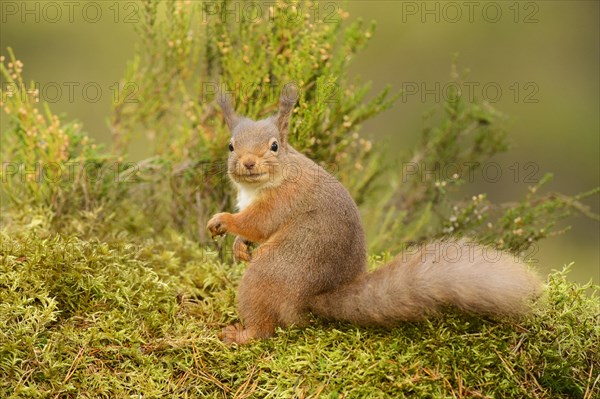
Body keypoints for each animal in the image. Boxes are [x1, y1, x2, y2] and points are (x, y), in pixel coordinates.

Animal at [207, 90, 544, 344]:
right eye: (231, 146)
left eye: (274, 146)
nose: (248, 163)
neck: (260, 186)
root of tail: (312, 299)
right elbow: (253, 230)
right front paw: (239, 246)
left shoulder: (283, 201)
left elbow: (257, 223)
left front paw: (224, 221)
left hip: (267, 276)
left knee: (265, 328)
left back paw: (240, 335)